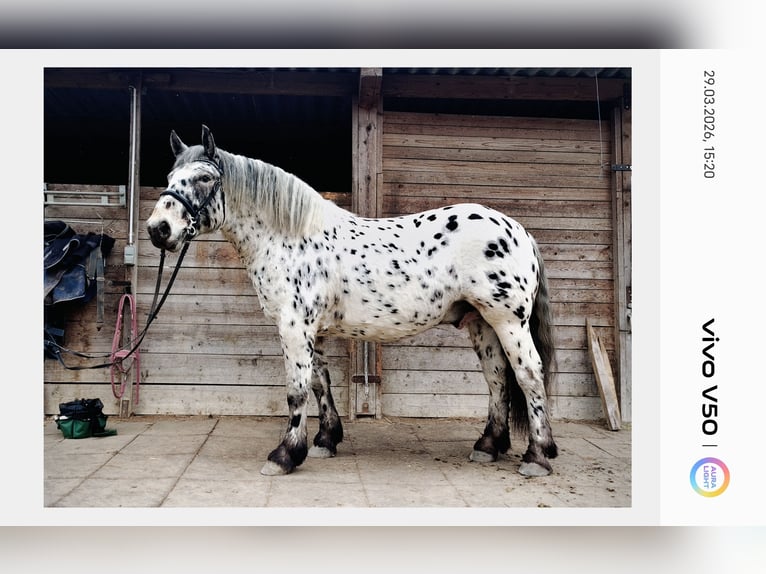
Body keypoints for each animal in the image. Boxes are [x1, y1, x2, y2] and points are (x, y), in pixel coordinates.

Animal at [147, 125, 559, 477]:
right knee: (497, 377)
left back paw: (536, 456)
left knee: (529, 374)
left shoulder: (294, 326)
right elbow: (319, 383)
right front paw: (324, 441)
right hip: (481, 323)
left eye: (204, 178)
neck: (290, 238)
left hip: (508, 321)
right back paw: (488, 446)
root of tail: (519, 231)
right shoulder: (311, 330)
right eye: (168, 178)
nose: (158, 230)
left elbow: (297, 390)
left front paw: (283, 456)